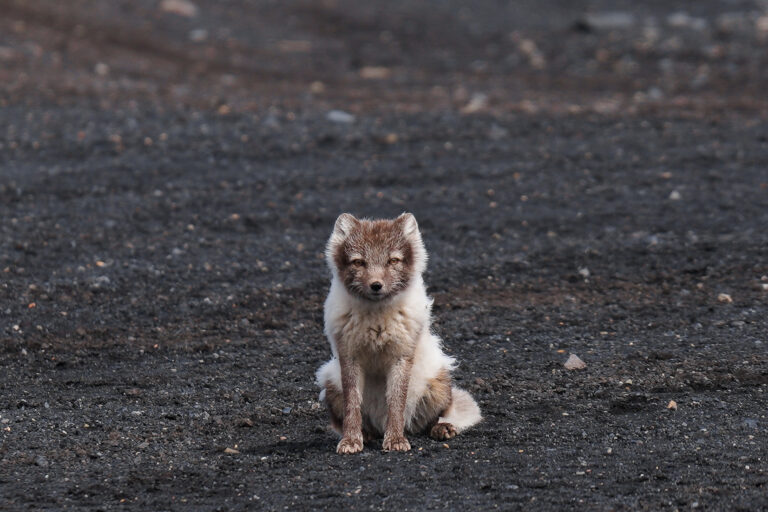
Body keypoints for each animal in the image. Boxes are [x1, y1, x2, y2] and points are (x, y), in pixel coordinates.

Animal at [316, 212, 482, 454]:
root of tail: (379, 423)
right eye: (359, 262)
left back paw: (441, 428)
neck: (377, 323)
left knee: (434, 418)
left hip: (438, 384)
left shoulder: (402, 356)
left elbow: (396, 402)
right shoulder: (349, 356)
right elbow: (352, 405)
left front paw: (395, 439)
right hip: (330, 383)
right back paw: (368, 435)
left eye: (392, 261)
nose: (376, 285)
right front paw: (351, 440)